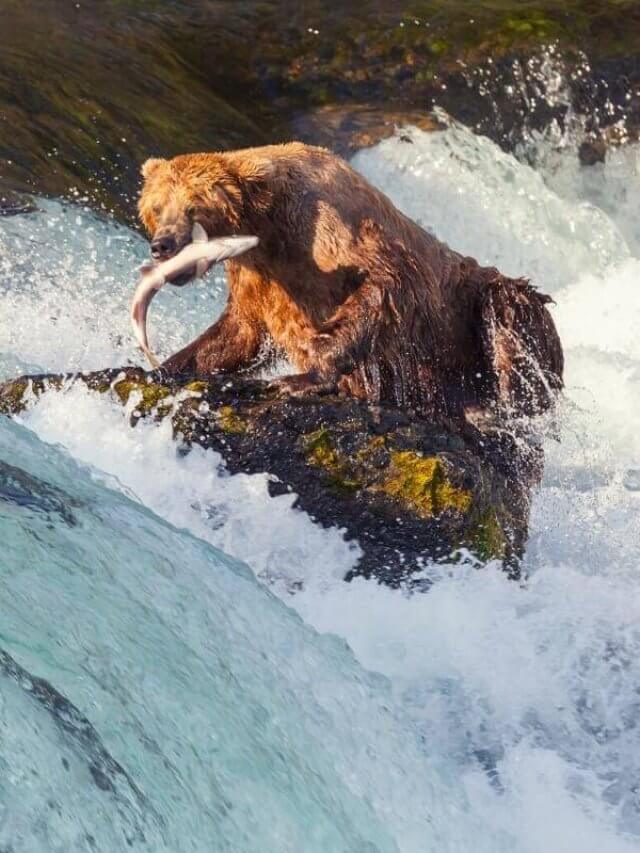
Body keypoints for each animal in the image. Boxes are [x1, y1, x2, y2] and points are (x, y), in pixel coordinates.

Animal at [138, 142, 563, 419]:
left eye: (193, 206)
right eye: (156, 207)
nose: (163, 245)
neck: (267, 226)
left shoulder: (329, 230)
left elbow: (384, 285)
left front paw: (302, 377)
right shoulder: (254, 274)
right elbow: (239, 332)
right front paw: (164, 366)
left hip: (475, 311)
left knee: (511, 312)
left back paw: (495, 407)